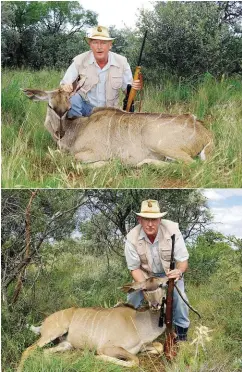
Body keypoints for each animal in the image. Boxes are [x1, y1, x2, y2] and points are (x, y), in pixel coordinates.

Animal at [18, 278, 167, 370]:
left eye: (162, 285)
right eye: (145, 289)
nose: (155, 305)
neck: (137, 323)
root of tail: (44, 323)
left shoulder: (143, 346)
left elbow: (160, 347)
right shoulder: (108, 348)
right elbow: (135, 361)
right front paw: (97, 356)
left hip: (66, 345)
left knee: (45, 352)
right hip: (52, 333)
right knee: (27, 350)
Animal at [21, 87, 213, 166]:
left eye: (68, 108)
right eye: (50, 105)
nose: (59, 132)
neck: (76, 129)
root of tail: (205, 132)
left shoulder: (95, 152)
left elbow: (74, 159)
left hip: (161, 144)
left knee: (192, 164)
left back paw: (146, 163)